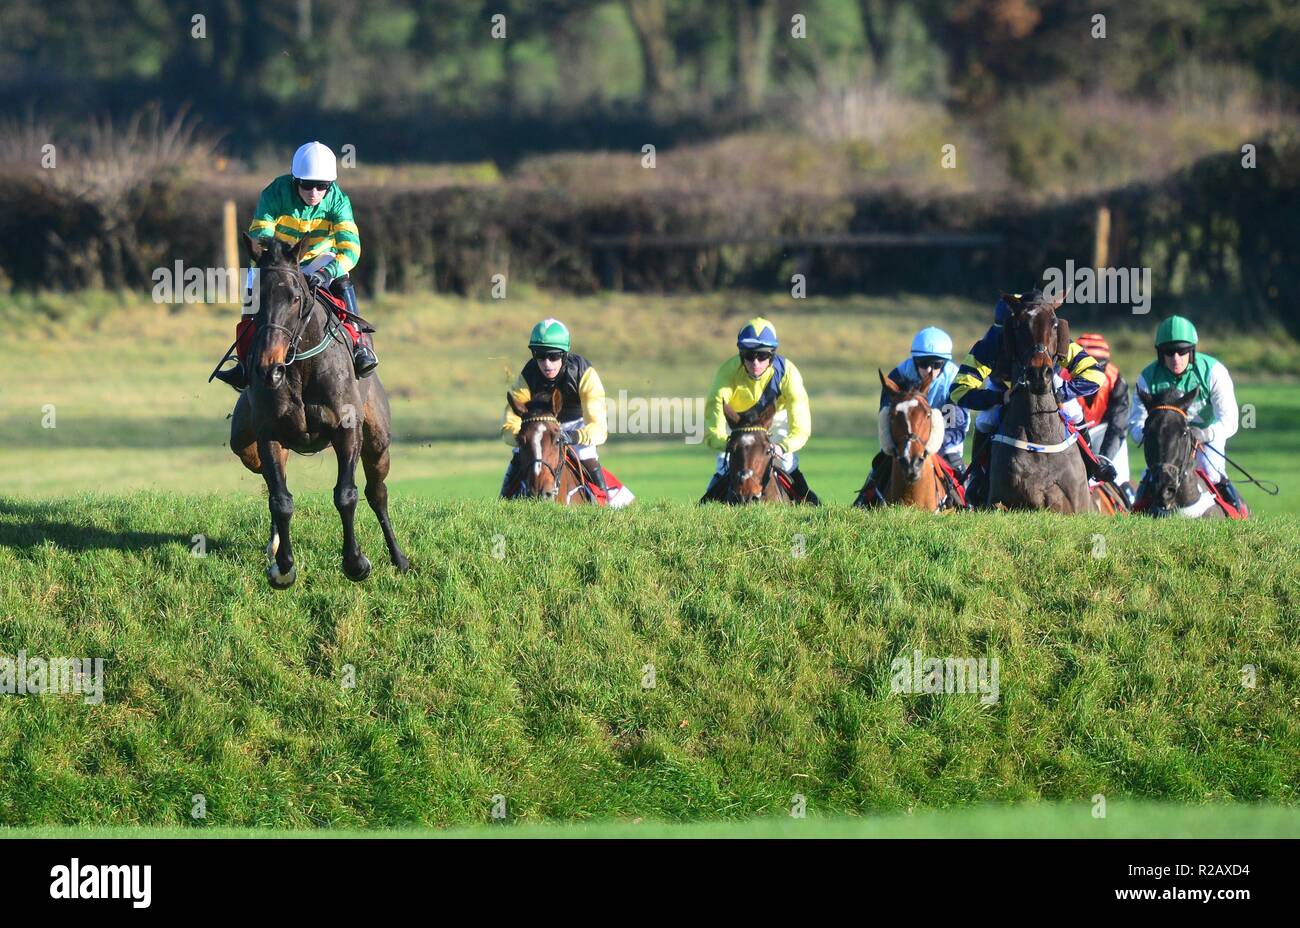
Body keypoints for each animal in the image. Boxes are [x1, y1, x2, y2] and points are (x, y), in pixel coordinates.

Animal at [230, 239, 405, 584]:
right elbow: (280, 500)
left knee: (377, 493)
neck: (301, 367)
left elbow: (346, 494)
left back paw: (399, 558)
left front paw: (356, 563)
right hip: (244, 445)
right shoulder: (269, 434)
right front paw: (283, 566)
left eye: (295, 297)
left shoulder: (346, 430)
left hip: (377, 442)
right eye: (254, 299)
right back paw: (273, 547)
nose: (268, 368)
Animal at [987, 287, 1092, 509]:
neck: (1039, 439)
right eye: (1018, 324)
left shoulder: (1075, 505)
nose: (1039, 374)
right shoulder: (997, 500)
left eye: (1054, 323)